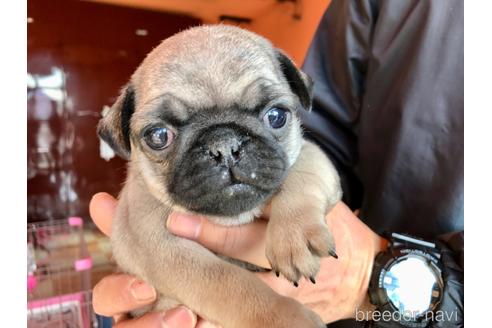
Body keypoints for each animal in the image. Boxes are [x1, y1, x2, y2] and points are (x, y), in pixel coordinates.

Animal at [98, 24, 340, 326]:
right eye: (158, 136)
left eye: (276, 116)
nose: (224, 145)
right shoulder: (162, 248)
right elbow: (232, 285)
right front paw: (286, 317)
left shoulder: (313, 155)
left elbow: (305, 170)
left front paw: (294, 233)